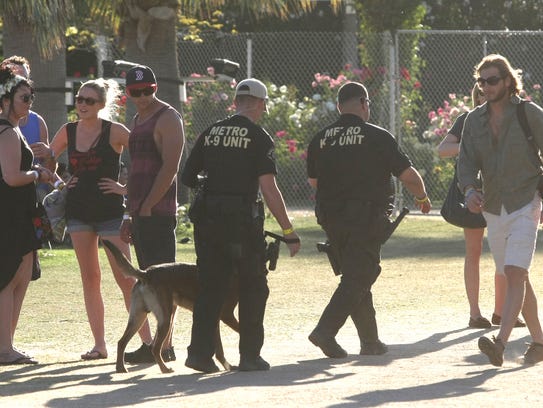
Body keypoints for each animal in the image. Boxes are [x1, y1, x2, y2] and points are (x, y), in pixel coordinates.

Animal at [102, 241, 238, 374]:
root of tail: (146, 273)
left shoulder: (216, 319)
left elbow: (220, 350)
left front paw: (228, 366)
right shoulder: (227, 315)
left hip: (139, 318)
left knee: (122, 342)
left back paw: (121, 368)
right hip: (166, 319)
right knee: (155, 348)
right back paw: (165, 369)